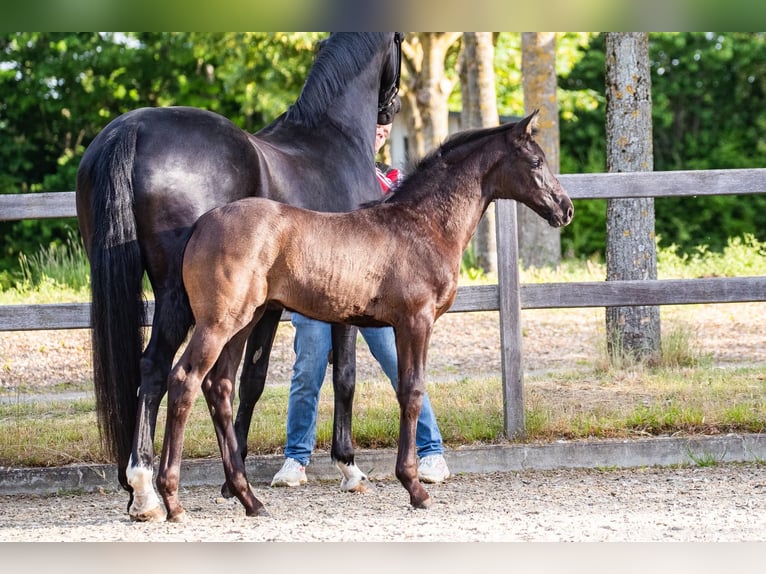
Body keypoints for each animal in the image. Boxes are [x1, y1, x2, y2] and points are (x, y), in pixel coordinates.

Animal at [75, 32, 404, 522]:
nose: (389, 110)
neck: (331, 140)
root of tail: (130, 130)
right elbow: (344, 373)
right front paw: (349, 467)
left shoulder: (267, 307)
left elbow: (251, 379)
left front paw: (235, 476)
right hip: (179, 297)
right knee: (159, 368)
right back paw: (149, 490)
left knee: (157, 372)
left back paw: (142, 488)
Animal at [155, 110, 574, 520]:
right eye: (537, 161)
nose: (565, 208)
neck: (422, 225)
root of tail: (201, 224)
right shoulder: (416, 321)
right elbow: (412, 391)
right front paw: (414, 487)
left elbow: (403, 389)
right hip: (219, 322)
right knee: (184, 380)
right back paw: (171, 500)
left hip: (247, 320)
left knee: (219, 387)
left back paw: (248, 498)